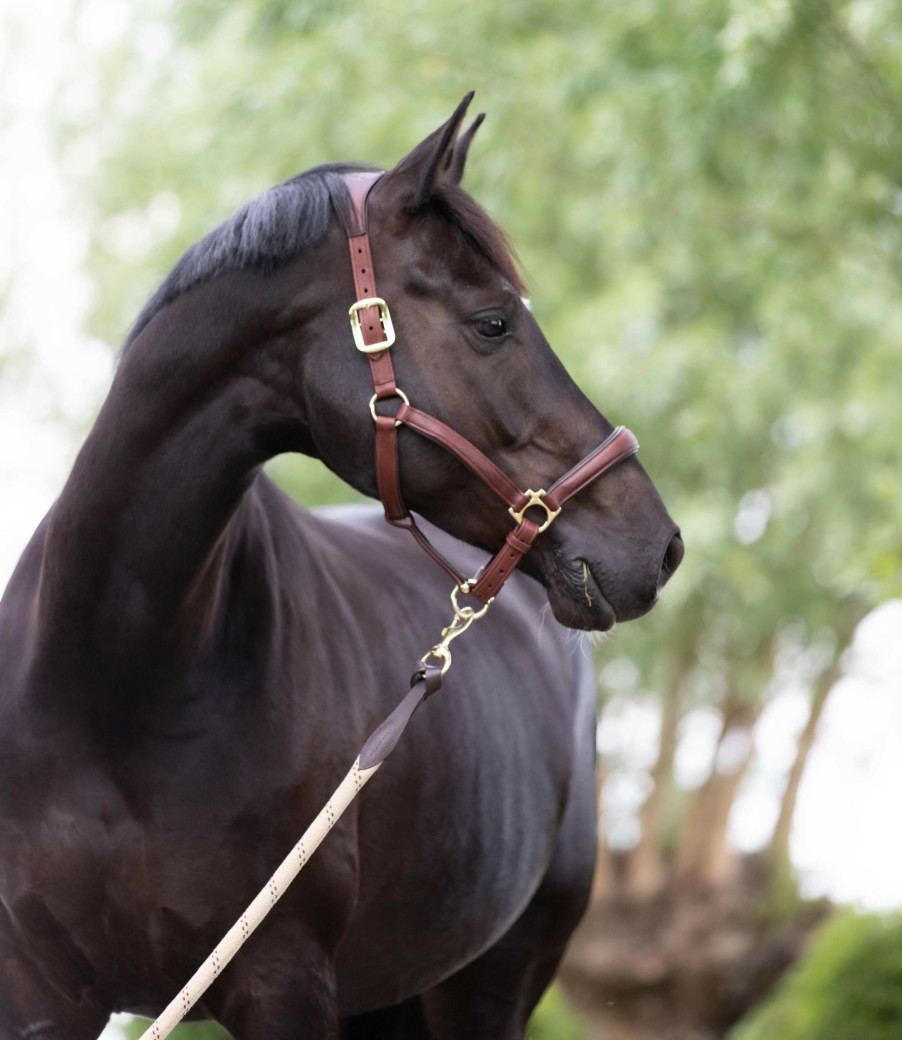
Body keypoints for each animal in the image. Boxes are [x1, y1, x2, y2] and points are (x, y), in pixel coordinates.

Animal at [0, 93, 678, 1035]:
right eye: (492, 322)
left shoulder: (282, 980)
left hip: (495, 981)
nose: (656, 545)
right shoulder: (37, 994)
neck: (114, 678)